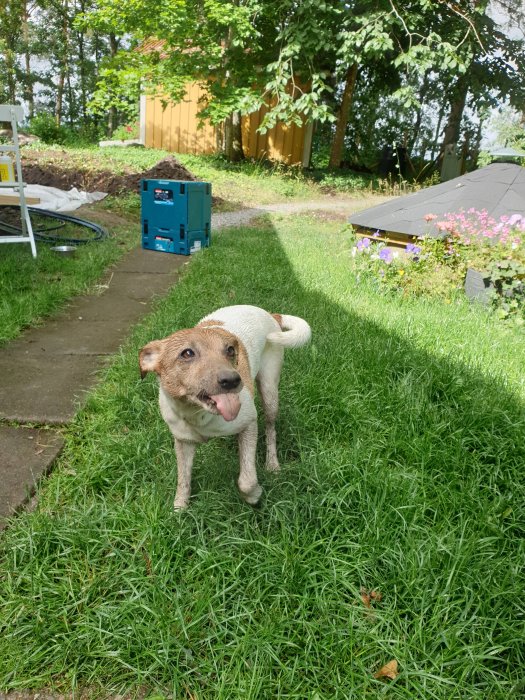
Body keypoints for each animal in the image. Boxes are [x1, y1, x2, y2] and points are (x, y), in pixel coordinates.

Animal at [139, 304, 312, 508]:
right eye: (187, 353)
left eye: (230, 350)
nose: (233, 380)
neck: (197, 414)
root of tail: (270, 314)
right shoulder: (183, 442)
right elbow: (183, 481)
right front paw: (179, 508)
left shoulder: (249, 423)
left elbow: (247, 480)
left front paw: (254, 495)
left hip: (269, 392)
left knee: (271, 430)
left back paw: (272, 464)